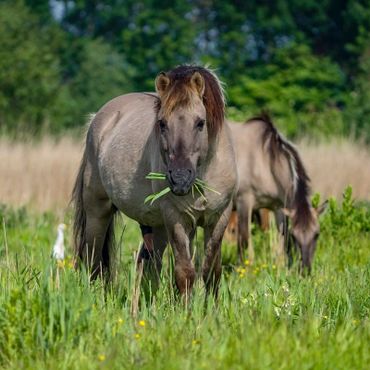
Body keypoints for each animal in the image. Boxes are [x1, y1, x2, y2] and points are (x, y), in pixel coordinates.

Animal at [72, 66, 237, 298]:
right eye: (162, 123)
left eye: (200, 123)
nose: (179, 179)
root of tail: (98, 118)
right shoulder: (175, 217)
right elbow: (185, 273)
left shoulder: (218, 218)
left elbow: (211, 272)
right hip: (98, 210)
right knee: (92, 259)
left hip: (156, 226)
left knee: (149, 266)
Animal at [228, 115, 326, 274]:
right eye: (295, 236)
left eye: (316, 234)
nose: (305, 270)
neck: (263, 161)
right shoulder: (244, 203)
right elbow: (244, 240)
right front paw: (245, 271)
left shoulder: (279, 208)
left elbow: (283, 241)